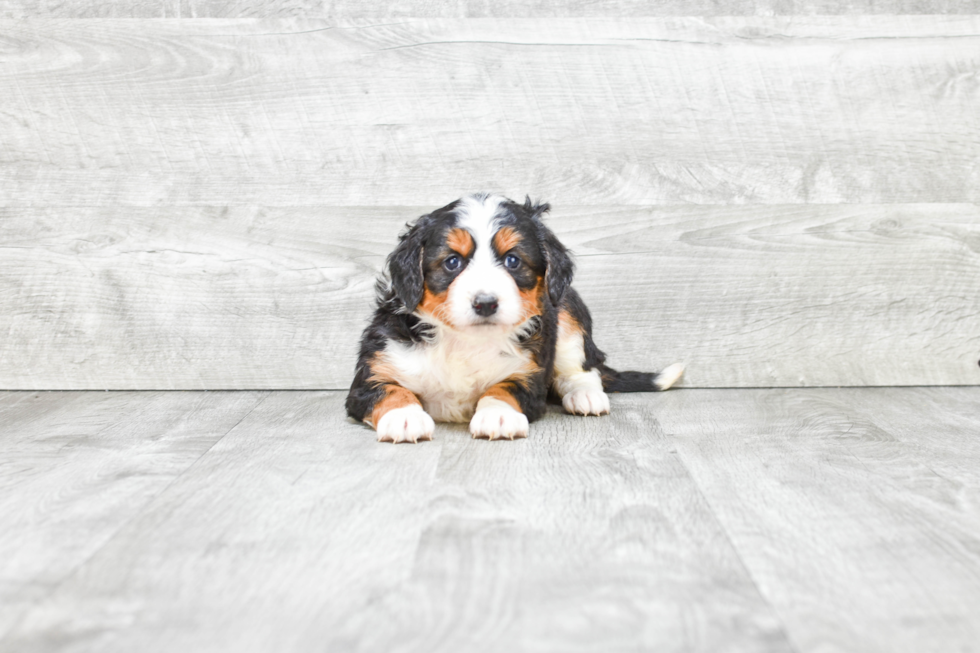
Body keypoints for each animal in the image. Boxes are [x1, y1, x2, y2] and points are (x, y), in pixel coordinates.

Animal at [348, 191, 684, 440]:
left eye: (512, 261)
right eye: (452, 262)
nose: (485, 303)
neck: (465, 343)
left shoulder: (530, 376)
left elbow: (503, 387)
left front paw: (497, 414)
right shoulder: (373, 372)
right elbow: (390, 390)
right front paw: (404, 417)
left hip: (567, 312)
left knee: (585, 369)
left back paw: (585, 396)